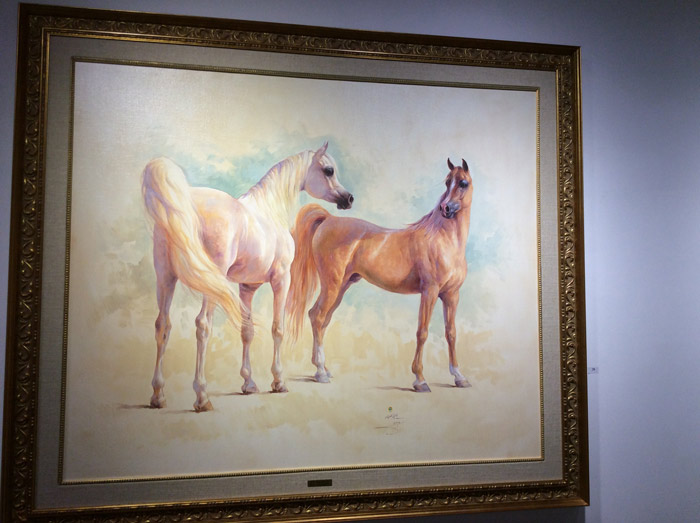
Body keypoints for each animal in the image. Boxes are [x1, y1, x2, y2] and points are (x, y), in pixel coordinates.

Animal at [141, 143, 353, 411]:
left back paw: (158, 395)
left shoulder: (247, 287)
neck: (269, 210)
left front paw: (249, 384)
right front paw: (278, 381)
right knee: (202, 325)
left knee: (162, 325)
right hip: (210, 284)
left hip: (166, 277)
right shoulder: (281, 280)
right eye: (328, 170)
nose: (349, 198)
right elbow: (277, 329)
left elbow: (247, 331)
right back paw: (202, 397)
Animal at [286, 158, 473, 392]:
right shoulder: (429, 292)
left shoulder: (452, 295)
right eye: (448, 182)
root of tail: (329, 219)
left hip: (341, 287)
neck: (443, 240)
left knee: (320, 319)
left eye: (463, 183)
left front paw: (459, 376)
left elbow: (451, 333)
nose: (446, 208)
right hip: (332, 285)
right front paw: (420, 380)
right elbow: (422, 332)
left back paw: (324, 369)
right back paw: (320, 372)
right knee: (318, 316)